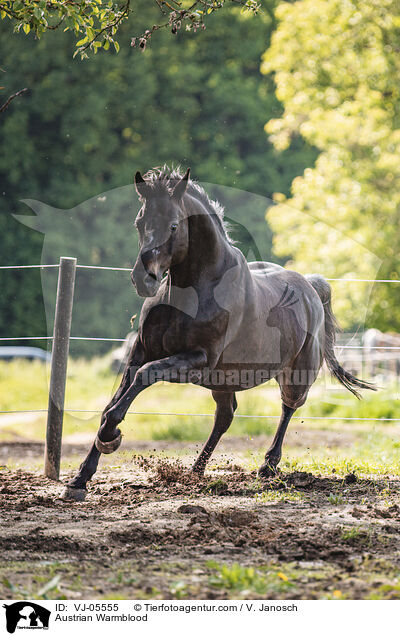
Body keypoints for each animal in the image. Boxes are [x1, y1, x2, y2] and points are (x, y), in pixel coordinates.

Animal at [61, 168, 376, 502]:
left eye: (174, 225)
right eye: (139, 221)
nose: (143, 279)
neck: (192, 290)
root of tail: (311, 287)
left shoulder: (198, 359)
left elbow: (145, 377)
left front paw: (111, 437)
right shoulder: (141, 353)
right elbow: (113, 403)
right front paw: (80, 479)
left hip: (295, 374)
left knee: (288, 407)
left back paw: (268, 466)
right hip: (225, 380)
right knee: (225, 417)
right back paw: (195, 471)